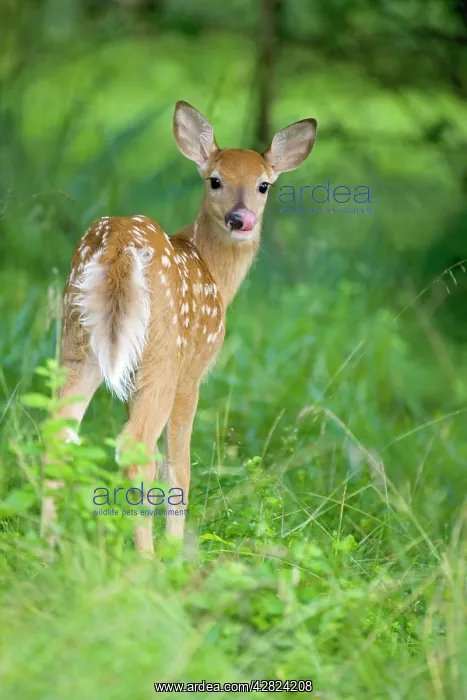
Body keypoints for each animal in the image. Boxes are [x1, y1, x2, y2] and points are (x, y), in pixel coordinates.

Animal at [41, 101, 317, 554]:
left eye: (263, 185)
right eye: (215, 180)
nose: (240, 219)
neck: (214, 275)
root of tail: (117, 248)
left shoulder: (130, 380)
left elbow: (157, 460)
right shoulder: (194, 367)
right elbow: (178, 464)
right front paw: (175, 549)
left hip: (78, 341)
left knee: (60, 431)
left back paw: (46, 547)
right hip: (163, 350)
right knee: (133, 444)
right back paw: (147, 558)